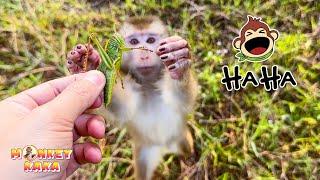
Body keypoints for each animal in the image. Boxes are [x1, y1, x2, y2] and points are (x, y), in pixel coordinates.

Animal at [67, 16, 198, 179]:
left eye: (150, 40)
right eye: (134, 41)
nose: (144, 56)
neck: (148, 85)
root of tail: (164, 146)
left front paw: (178, 57)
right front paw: (87, 62)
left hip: (181, 138)